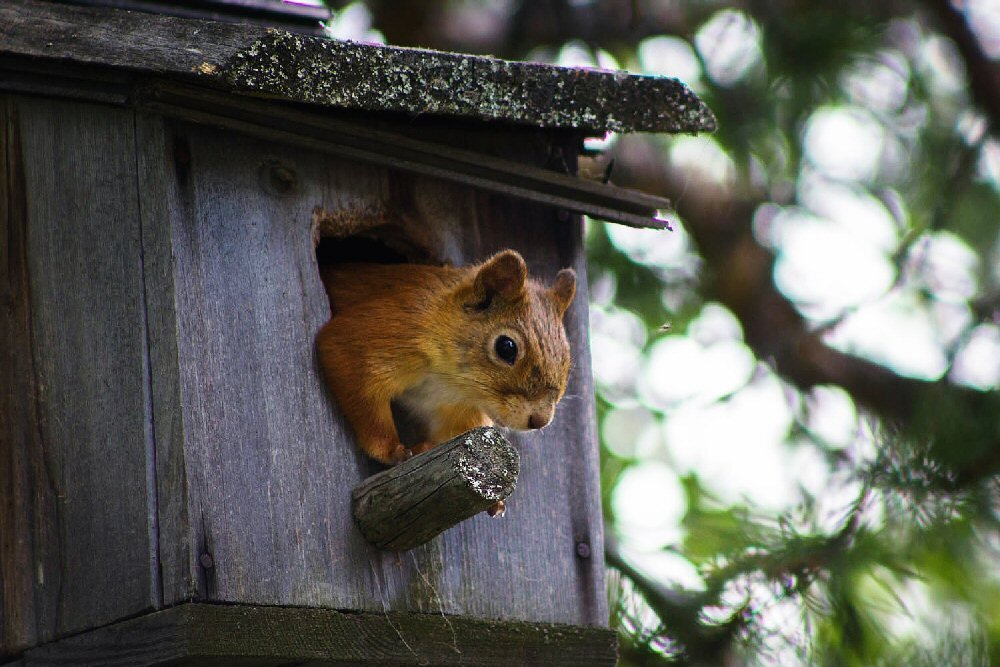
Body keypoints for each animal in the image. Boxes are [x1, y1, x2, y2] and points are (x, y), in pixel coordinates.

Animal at [316, 248, 576, 472]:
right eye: (506, 347)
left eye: (567, 358)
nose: (540, 420)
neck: (451, 383)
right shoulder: (383, 333)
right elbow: (355, 380)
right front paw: (392, 450)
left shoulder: (457, 410)